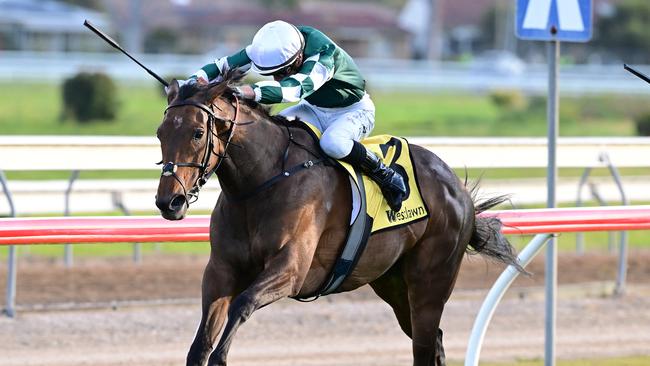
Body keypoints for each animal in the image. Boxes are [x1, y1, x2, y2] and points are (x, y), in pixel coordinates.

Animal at [153, 72, 520, 366]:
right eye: (160, 133)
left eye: (197, 133)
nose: (169, 201)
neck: (262, 181)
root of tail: (456, 187)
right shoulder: (221, 270)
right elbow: (200, 344)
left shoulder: (291, 269)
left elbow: (241, 305)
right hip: (392, 283)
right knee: (433, 344)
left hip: (430, 284)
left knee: (426, 345)